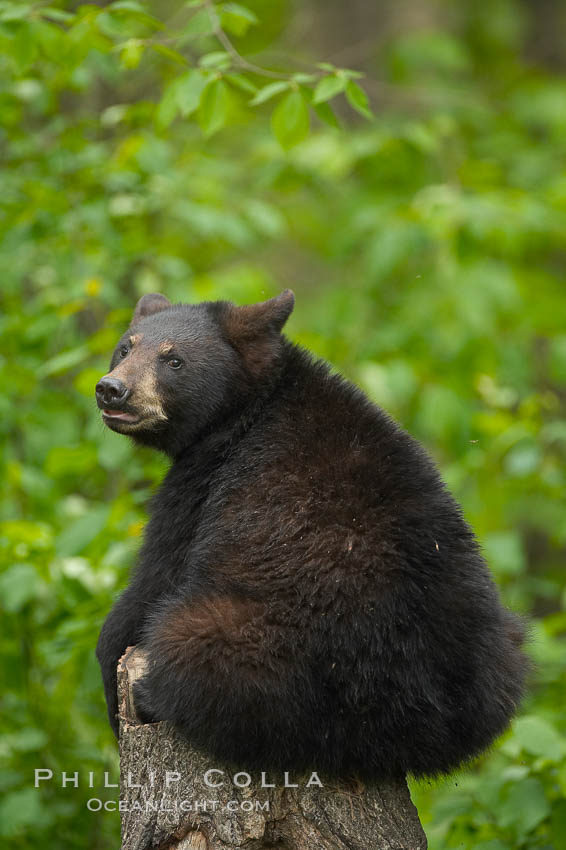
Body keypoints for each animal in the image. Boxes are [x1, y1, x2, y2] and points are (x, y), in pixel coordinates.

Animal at [96, 292, 528, 776]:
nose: (112, 388)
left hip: (266, 644)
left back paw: (151, 694)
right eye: (126, 347)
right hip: (501, 655)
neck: (247, 410)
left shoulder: (199, 485)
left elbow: (153, 579)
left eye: (173, 360)